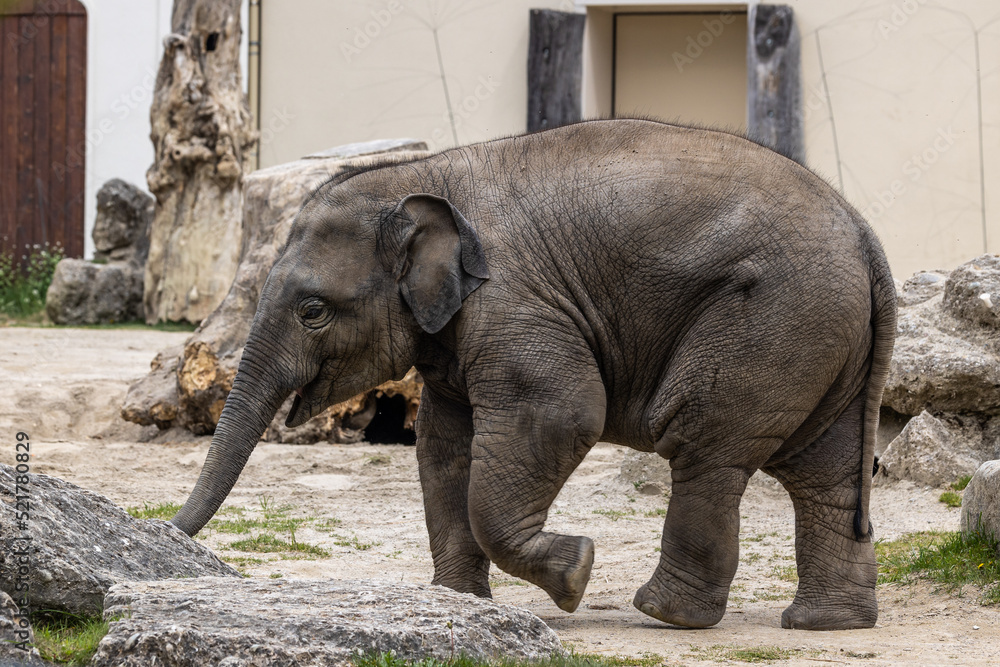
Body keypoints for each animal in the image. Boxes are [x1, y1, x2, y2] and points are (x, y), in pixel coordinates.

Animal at [170, 118, 896, 631]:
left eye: (314, 311)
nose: (170, 531)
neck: (419, 175)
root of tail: (866, 234)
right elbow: (443, 446)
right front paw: (458, 603)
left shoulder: (515, 301)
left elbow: (560, 412)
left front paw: (575, 573)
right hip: (822, 335)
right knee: (823, 470)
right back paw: (825, 623)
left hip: (771, 318)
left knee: (702, 444)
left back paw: (666, 614)